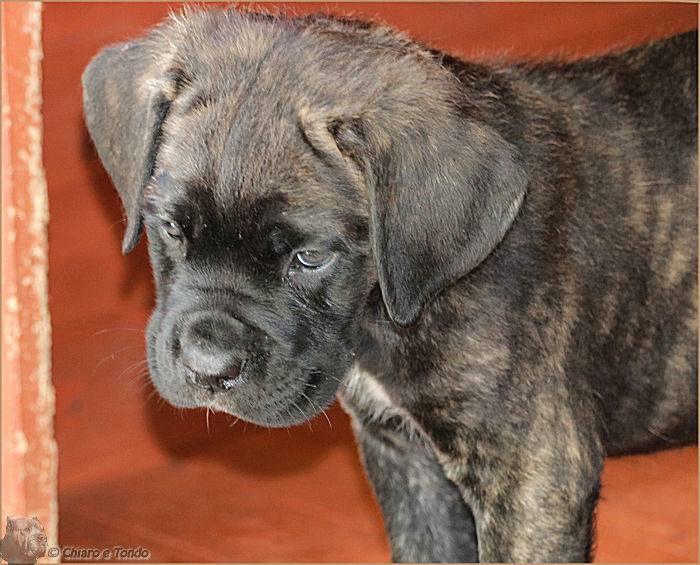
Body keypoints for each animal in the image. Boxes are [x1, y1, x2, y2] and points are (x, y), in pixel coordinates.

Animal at [82, 8, 698, 562]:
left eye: (309, 258)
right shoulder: (406, 462)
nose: (208, 369)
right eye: (169, 227)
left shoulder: (532, 476)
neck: (389, 309)